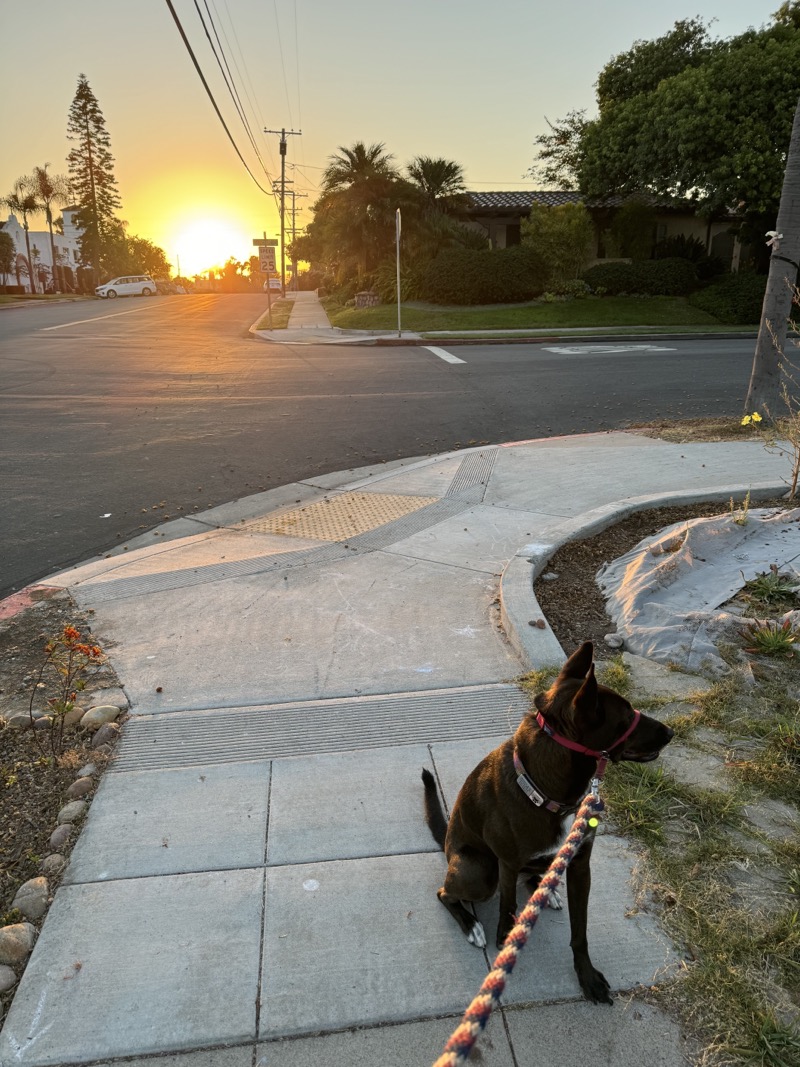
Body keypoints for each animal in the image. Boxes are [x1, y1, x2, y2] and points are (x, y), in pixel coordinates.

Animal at [422, 644, 674, 1002]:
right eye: (625, 718)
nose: (670, 732)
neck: (549, 791)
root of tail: (446, 845)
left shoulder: (581, 865)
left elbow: (580, 930)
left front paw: (587, 976)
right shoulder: (507, 863)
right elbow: (508, 905)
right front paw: (505, 938)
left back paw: (546, 888)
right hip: (480, 872)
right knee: (446, 893)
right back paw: (472, 924)